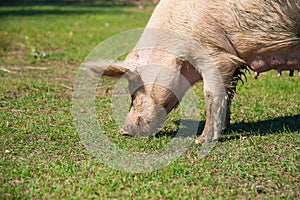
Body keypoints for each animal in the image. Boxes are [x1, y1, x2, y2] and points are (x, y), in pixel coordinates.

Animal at [84, 0, 298, 144]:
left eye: (134, 93)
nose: (124, 131)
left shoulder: (215, 54)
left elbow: (211, 94)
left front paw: (201, 140)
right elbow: (228, 93)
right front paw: (226, 127)